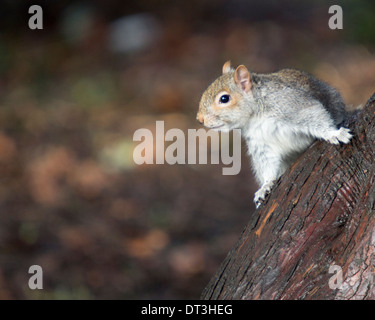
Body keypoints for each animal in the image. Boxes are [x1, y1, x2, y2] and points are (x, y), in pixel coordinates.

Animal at [198, 61, 354, 209]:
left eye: (224, 99)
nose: (200, 119)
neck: (254, 117)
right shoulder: (260, 143)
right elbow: (267, 164)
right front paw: (265, 186)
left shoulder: (291, 106)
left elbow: (315, 117)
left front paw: (334, 133)